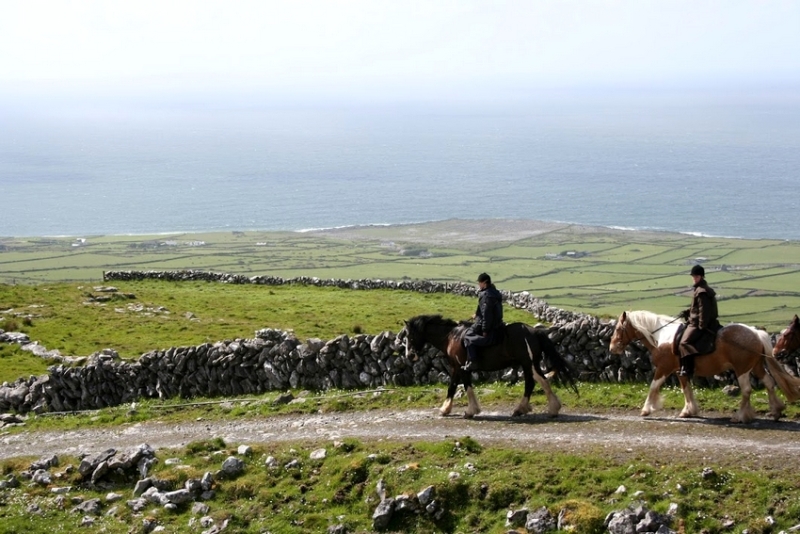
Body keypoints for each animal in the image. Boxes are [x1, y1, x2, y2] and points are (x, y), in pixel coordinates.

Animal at [404, 316, 580, 420]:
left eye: (409, 336)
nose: (409, 356)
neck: (452, 337)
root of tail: (534, 331)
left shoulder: (460, 367)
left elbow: (461, 386)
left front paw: (467, 410)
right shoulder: (457, 368)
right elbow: (454, 387)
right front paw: (447, 409)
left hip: (528, 364)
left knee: (534, 383)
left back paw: (530, 409)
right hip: (530, 364)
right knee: (537, 382)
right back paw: (542, 409)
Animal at [608, 312, 800, 426]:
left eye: (618, 329)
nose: (612, 348)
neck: (662, 336)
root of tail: (755, 333)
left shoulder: (664, 368)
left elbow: (653, 387)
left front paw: (646, 409)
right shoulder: (680, 370)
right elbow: (686, 389)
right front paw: (689, 411)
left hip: (742, 369)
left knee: (746, 390)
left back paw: (740, 416)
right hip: (756, 366)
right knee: (769, 383)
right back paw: (776, 411)